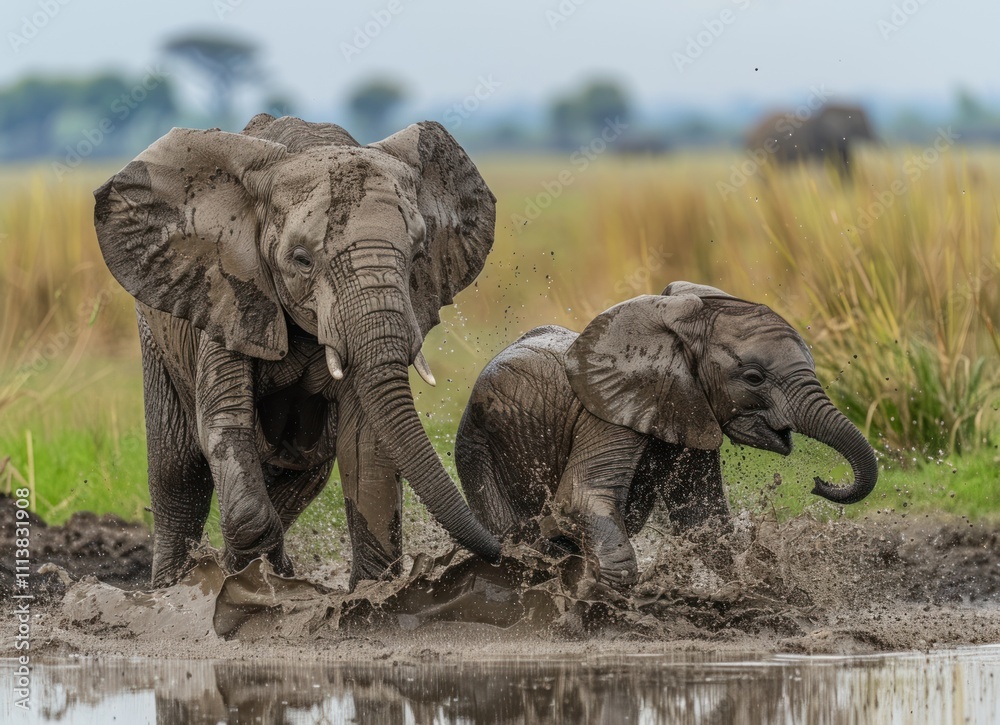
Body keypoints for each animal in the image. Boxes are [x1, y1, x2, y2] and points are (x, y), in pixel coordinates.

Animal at [93, 113, 501, 589]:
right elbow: (225, 427)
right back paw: (172, 588)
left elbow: (366, 451)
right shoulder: (231, 292)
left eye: (419, 253)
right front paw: (245, 576)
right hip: (157, 331)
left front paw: (368, 594)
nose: (504, 548)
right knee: (177, 471)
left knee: (302, 468)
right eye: (302, 259)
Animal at [455, 282, 878, 590]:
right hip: (477, 449)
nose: (819, 482)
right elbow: (580, 500)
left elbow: (702, 514)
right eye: (754, 377)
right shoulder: (607, 414)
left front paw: (755, 589)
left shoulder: (688, 407)